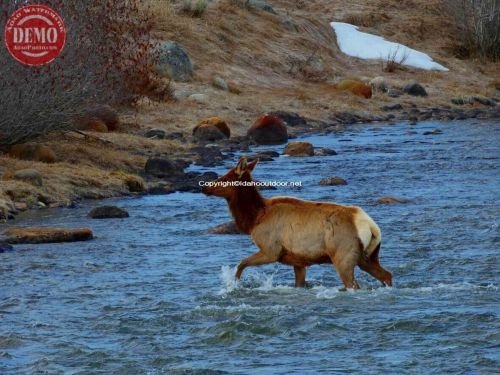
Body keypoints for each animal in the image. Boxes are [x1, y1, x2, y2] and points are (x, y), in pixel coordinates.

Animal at [201, 157, 392, 290]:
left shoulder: (271, 250)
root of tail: (371, 226)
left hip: (342, 255)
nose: (204, 187)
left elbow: (241, 264)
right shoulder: (298, 260)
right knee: (387, 275)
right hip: (368, 256)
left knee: (354, 284)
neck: (254, 218)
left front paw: (234, 284)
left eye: (226, 177)